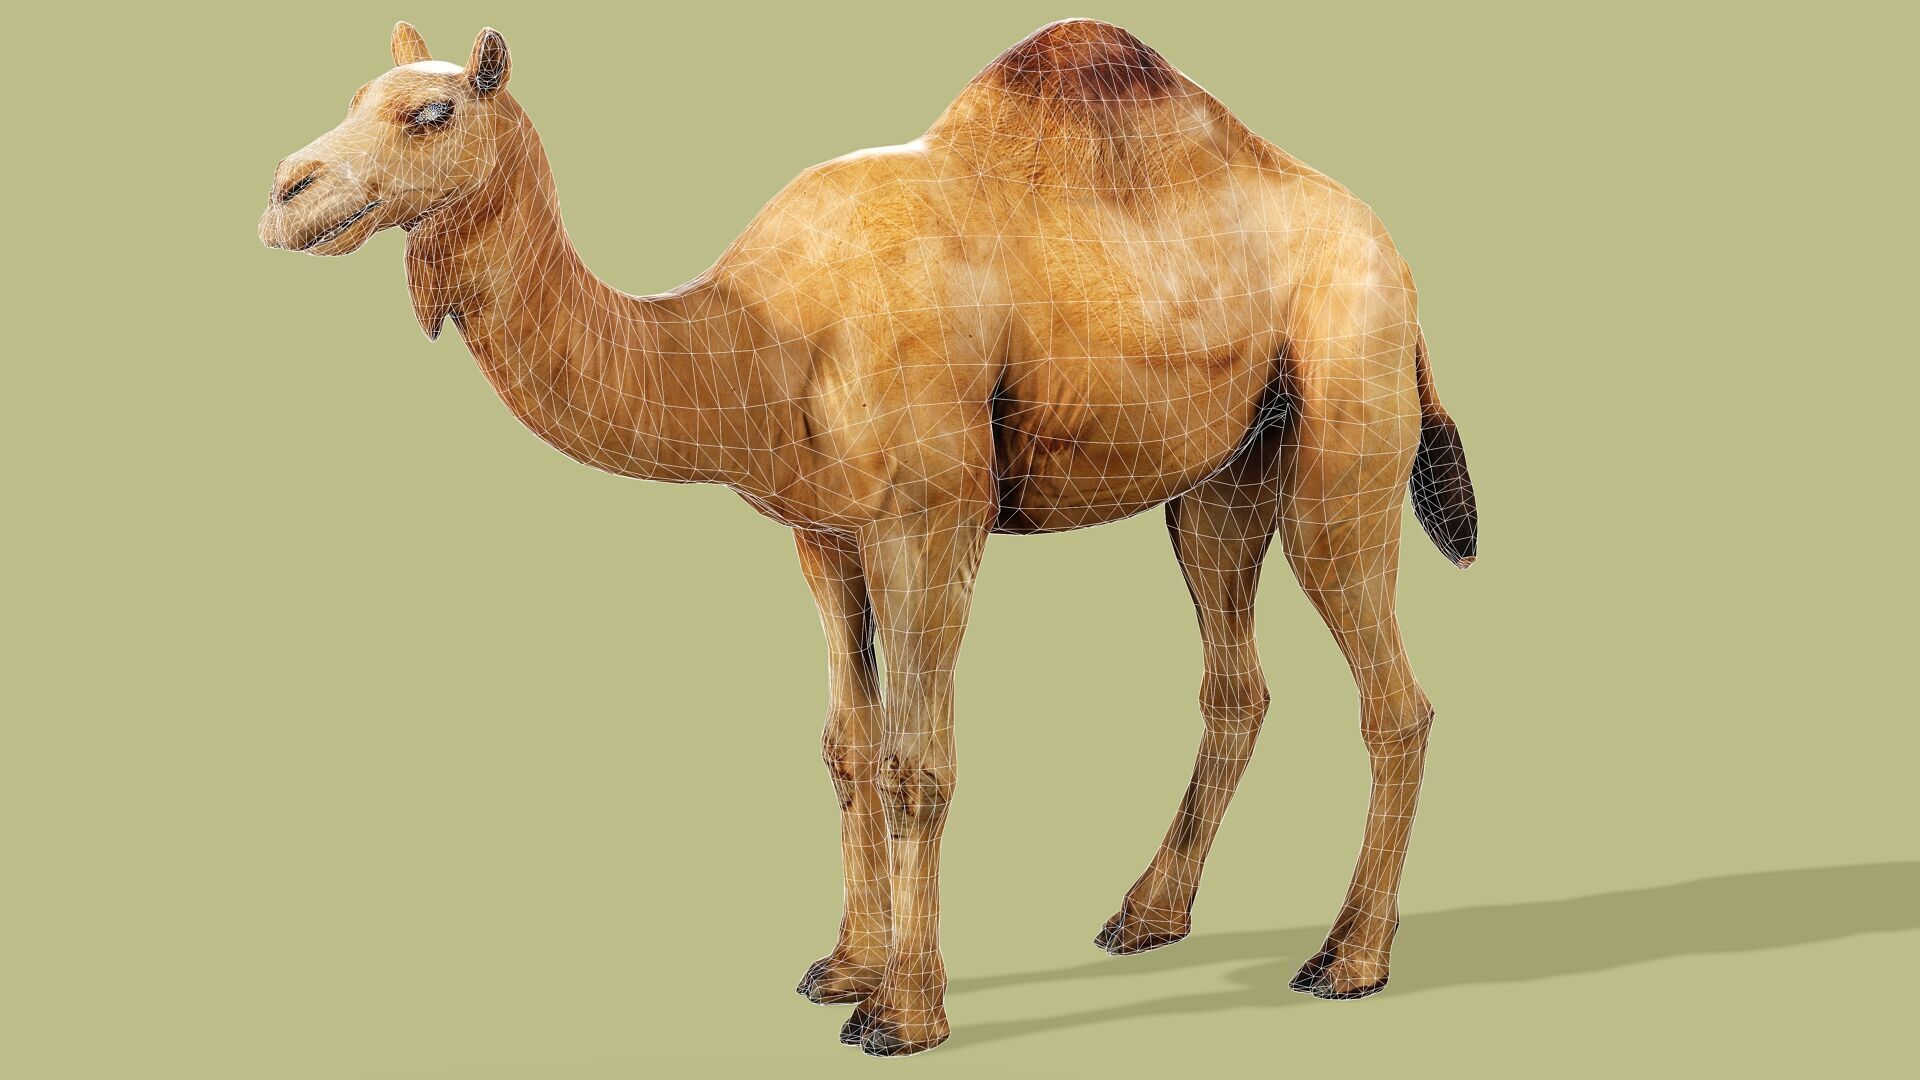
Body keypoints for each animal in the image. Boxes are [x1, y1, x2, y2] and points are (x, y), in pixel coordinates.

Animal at [259, 19, 1478, 1057]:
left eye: (432, 114)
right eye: (357, 98)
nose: (285, 192)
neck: (762, 335)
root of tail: (1396, 259)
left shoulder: (929, 519)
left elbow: (916, 760)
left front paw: (902, 1013)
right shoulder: (822, 531)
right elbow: (847, 745)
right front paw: (845, 965)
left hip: (1346, 417)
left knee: (1394, 698)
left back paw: (1349, 958)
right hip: (1220, 480)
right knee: (1236, 683)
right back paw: (1147, 915)